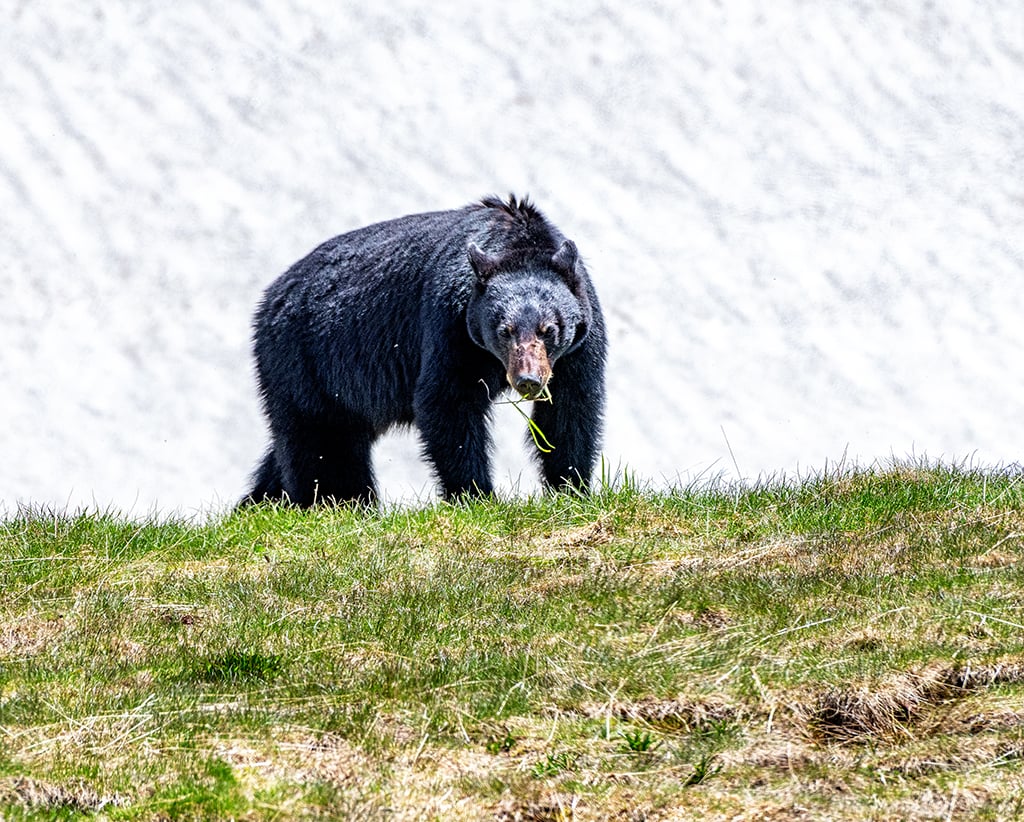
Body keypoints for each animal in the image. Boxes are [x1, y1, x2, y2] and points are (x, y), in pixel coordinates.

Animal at [241, 194, 607, 507]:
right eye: (504, 331)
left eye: (549, 329)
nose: (528, 379)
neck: (516, 243)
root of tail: (269, 299)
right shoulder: (450, 324)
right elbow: (448, 399)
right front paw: (476, 495)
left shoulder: (580, 341)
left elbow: (570, 406)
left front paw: (571, 488)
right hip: (304, 360)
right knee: (320, 440)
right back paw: (339, 502)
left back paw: (258, 504)